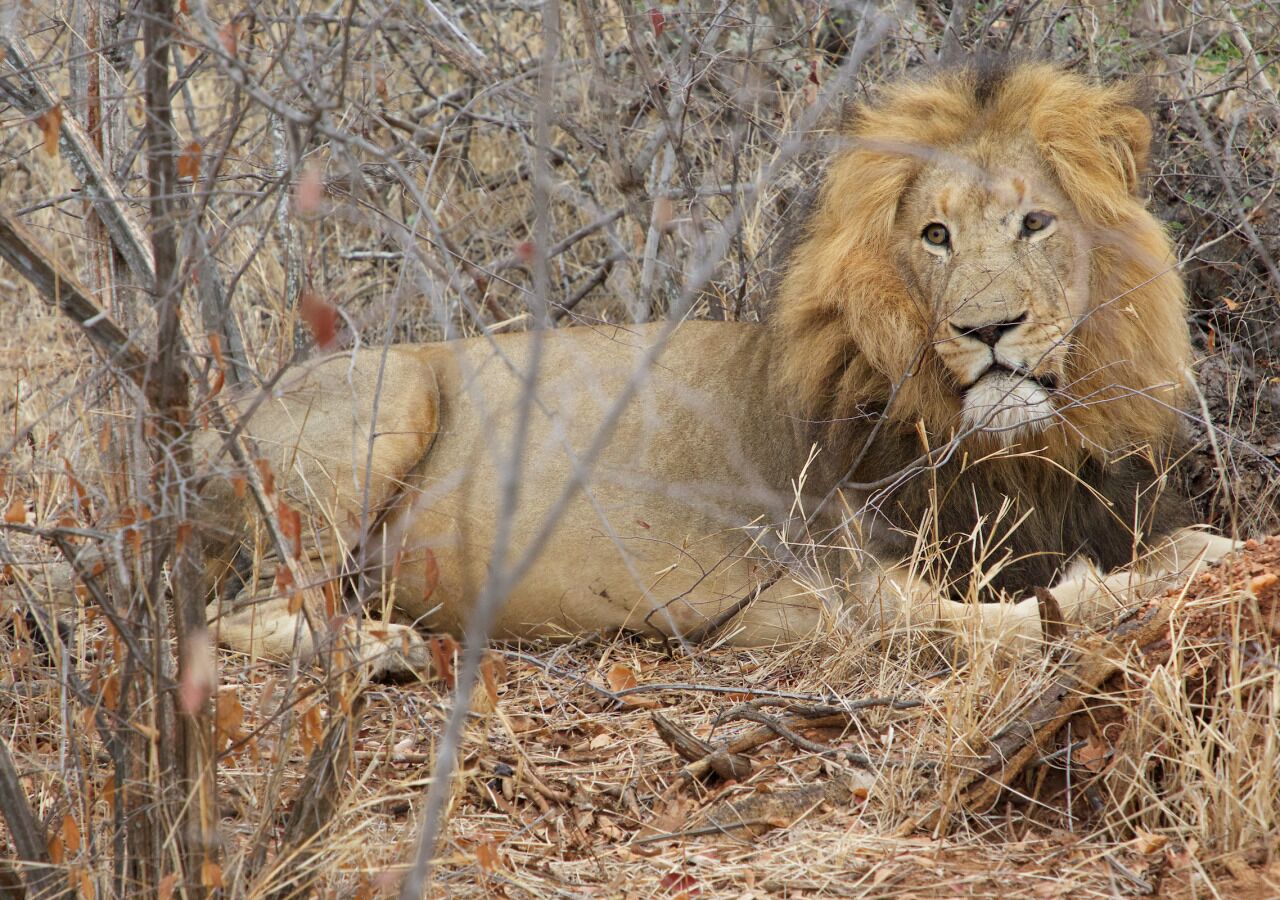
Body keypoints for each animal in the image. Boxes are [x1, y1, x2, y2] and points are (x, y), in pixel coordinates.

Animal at [190, 61, 1234, 675]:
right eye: (935, 235)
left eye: (1034, 223)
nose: (989, 327)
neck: (1007, 453)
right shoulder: (797, 602)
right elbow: (989, 617)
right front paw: (1126, 588)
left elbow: (1168, 546)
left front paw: (1200, 555)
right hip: (389, 397)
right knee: (229, 613)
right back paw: (383, 648)